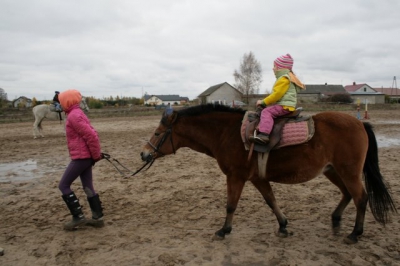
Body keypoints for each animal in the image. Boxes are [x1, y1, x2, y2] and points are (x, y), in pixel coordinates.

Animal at [139, 103, 396, 243]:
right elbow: (271, 200)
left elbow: (231, 205)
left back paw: (355, 233)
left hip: (348, 171)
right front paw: (283, 225)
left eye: (158, 133)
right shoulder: (257, 178)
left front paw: (224, 230)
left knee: (361, 198)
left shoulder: (236, 177)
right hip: (333, 171)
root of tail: (360, 123)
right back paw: (335, 219)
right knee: (347, 194)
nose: (144, 154)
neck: (227, 133)